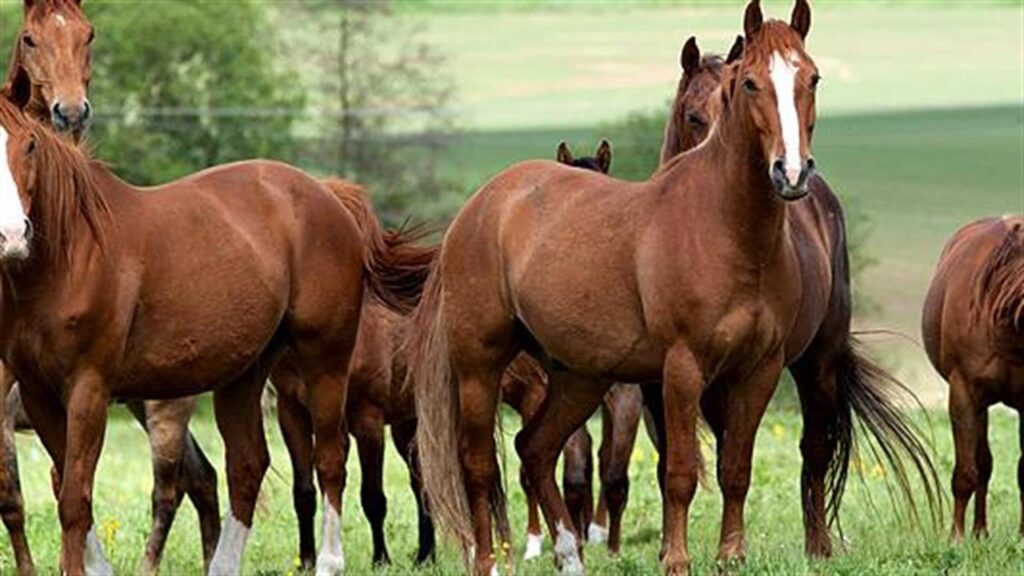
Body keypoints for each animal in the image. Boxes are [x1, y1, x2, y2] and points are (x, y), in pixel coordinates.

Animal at [0, 2, 224, 569]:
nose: (70, 112)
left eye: (89, 35)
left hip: (163, 408)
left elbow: (23, 495)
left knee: (175, 484)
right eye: (30, 38)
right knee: (203, 478)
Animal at [0, 91, 432, 569]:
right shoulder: (39, 395)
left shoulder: (88, 390)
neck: (70, 257)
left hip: (325, 362)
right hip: (245, 373)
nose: (12, 236)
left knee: (330, 461)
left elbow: (74, 497)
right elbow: (67, 487)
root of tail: (328, 195)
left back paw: (329, 563)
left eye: (30, 145)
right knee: (246, 464)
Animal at [407, 2, 937, 569]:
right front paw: (676, 559)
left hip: (597, 374)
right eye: (749, 83)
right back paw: (488, 562)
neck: (725, 231)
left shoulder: (758, 369)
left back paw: (574, 556)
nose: (792, 173)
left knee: (536, 448)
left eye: (811, 77)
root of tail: (482, 205)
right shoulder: (680, 370)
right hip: (479, 366)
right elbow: (679, 473)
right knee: (479, 464)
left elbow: (735, 468)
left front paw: (731, 557)